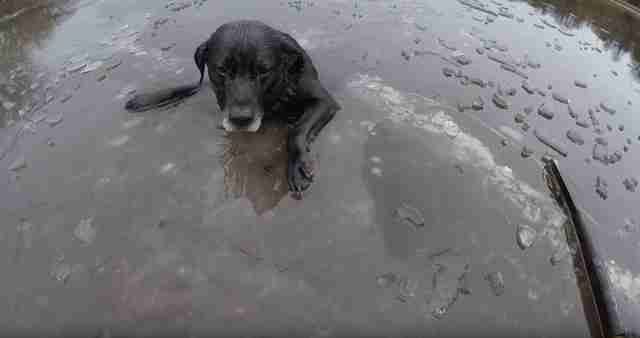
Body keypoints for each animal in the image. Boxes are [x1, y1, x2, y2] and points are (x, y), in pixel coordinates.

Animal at [127, 20, 342, 195]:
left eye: (263, 71)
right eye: (221, 70)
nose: (240, 119)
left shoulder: (324, 101)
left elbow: (297, 131)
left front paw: (297, 165)